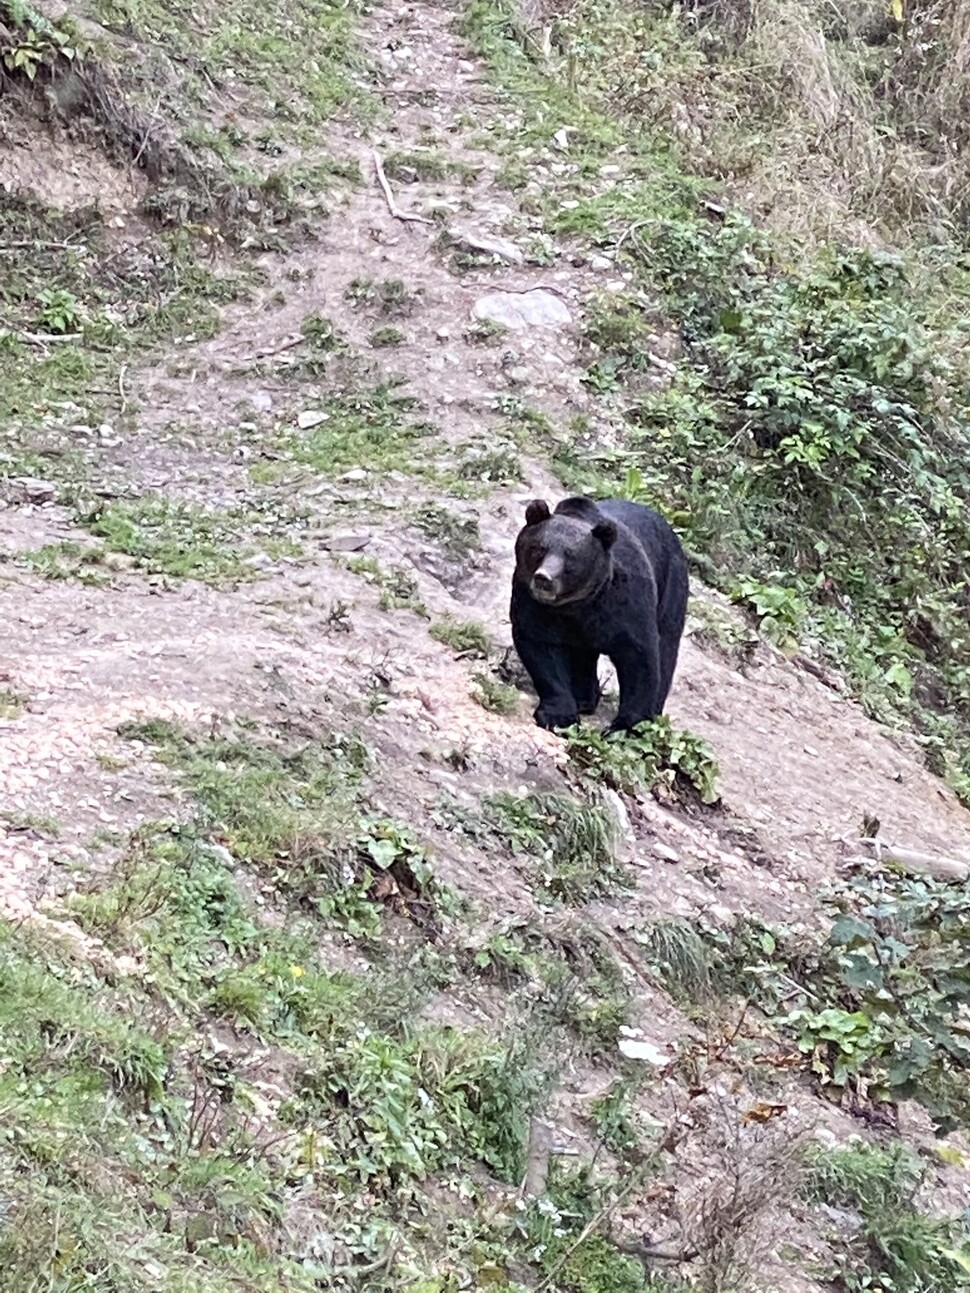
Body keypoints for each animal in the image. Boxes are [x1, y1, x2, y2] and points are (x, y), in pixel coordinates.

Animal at [509, 493, 693, 734]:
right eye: (539, 548)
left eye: (570, 557)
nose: (543, 579)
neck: (579, 604)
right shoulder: (534, 603)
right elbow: (540, 648)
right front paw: (558, 715)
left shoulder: (626, 605)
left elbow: (639, 658)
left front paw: (625, 726)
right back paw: (584, 697)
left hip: (671, 589)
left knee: (667, 647)